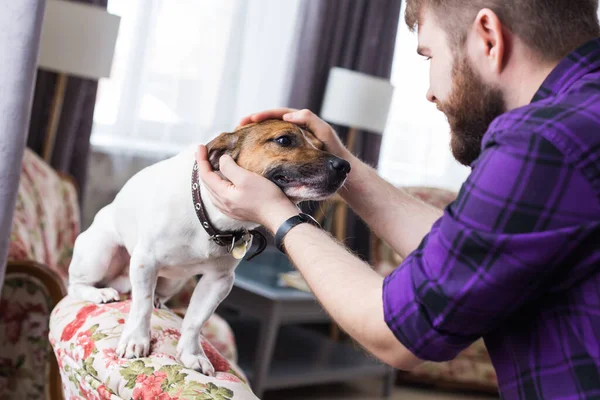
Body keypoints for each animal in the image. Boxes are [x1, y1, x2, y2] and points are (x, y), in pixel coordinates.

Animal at [67, 119, 350, 376]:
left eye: (322, 145)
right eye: (284, 140)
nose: (344, 165)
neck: (209, 216)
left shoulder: (219, 281)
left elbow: (195, 320)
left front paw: (192, 354)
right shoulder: (145, 262)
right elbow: (142, 307)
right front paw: (136, 339)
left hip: (173, 281)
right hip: (100, 254)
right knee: (76, 285)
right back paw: (99, 293)